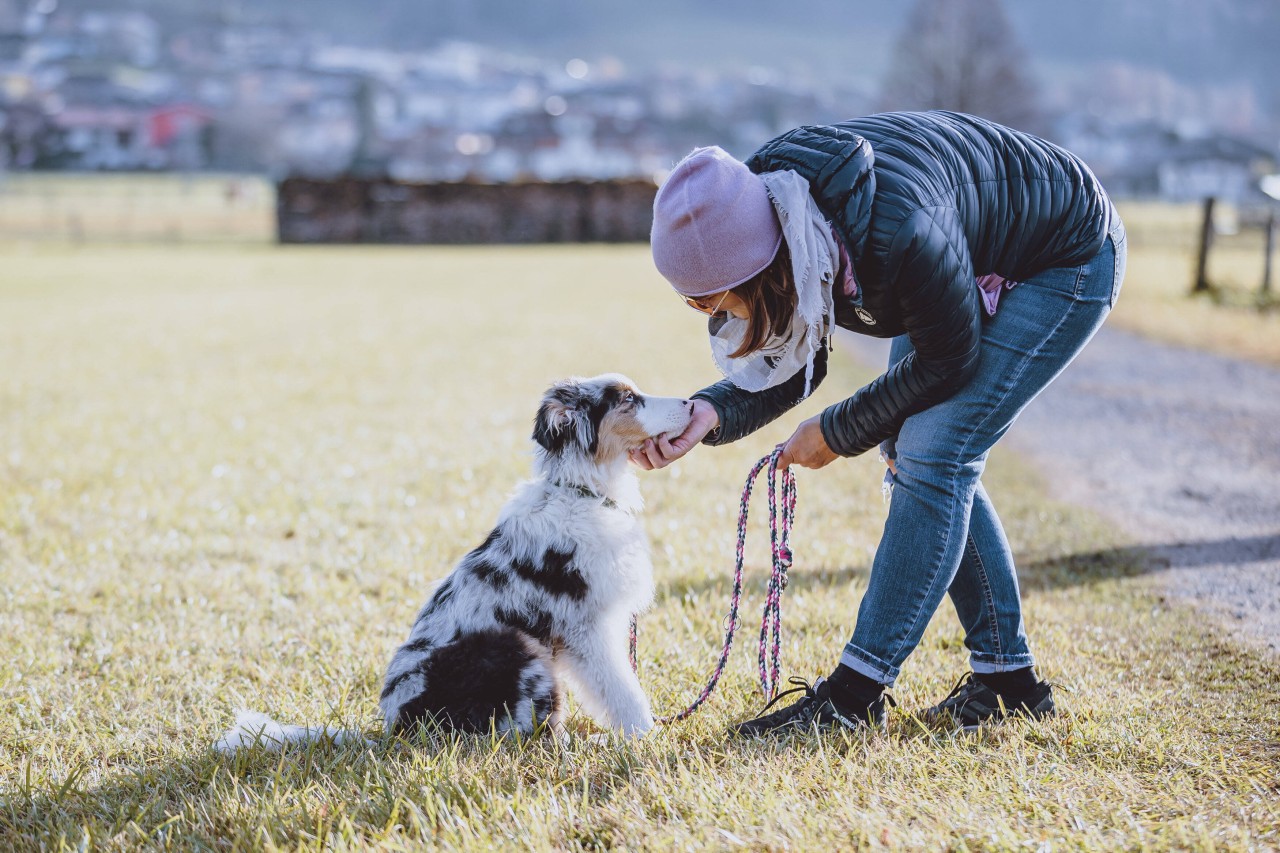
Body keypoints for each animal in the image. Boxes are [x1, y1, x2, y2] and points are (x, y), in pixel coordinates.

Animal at [212, 376, 691, 747]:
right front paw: (645, 737)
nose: (690, 403)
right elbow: (623, 690)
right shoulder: (586, 627)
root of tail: (395, 729)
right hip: (515, 646)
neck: (582, 492)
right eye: (627, 399)